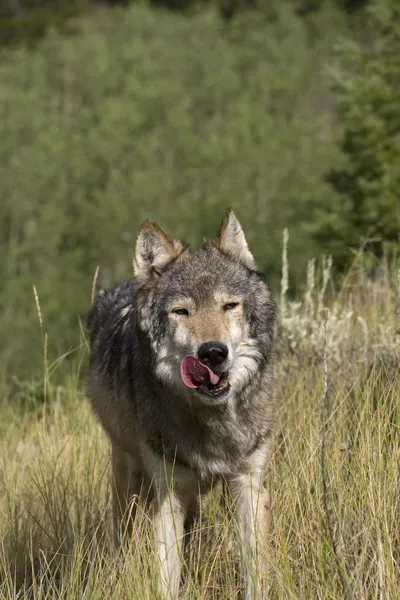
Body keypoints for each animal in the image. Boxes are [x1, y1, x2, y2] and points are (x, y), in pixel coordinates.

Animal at [86, 209, 276, 596]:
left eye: (229, 305)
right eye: (181, 311)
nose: (213, 353)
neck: (212, 422)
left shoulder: (249, 486)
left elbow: (255, 574)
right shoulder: (167, 496)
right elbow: (165, 580)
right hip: (128, 478)